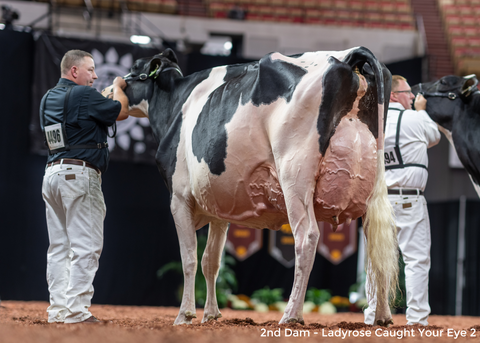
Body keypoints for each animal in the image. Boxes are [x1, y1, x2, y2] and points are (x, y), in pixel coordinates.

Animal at [108, 47, 398, 326]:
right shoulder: (218, 207)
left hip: (295, 175)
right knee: (379, 243)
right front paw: (210, 315)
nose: (111, 89)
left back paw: (291, 314)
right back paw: (382, 316)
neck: (175, 105)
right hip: (372, 187)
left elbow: (189, 258)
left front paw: (185, 315)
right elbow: (210, 260)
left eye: (134, 68)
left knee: (306, 237)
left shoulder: (178, 198)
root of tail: (348, 56)